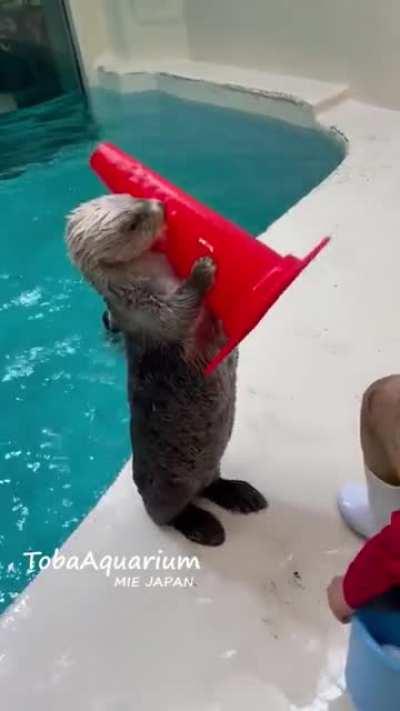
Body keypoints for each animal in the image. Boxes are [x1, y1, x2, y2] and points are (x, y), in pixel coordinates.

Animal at [66, 193, 267, 545]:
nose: (159, 205)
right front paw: (202, 270)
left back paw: (241, 495)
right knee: (168, 516)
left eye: (133, 197)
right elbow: (180, 311)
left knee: (212, 483)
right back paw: (204, 527)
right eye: (132, 223)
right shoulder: (146, 310)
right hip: (167, 488)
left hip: (210, 465)